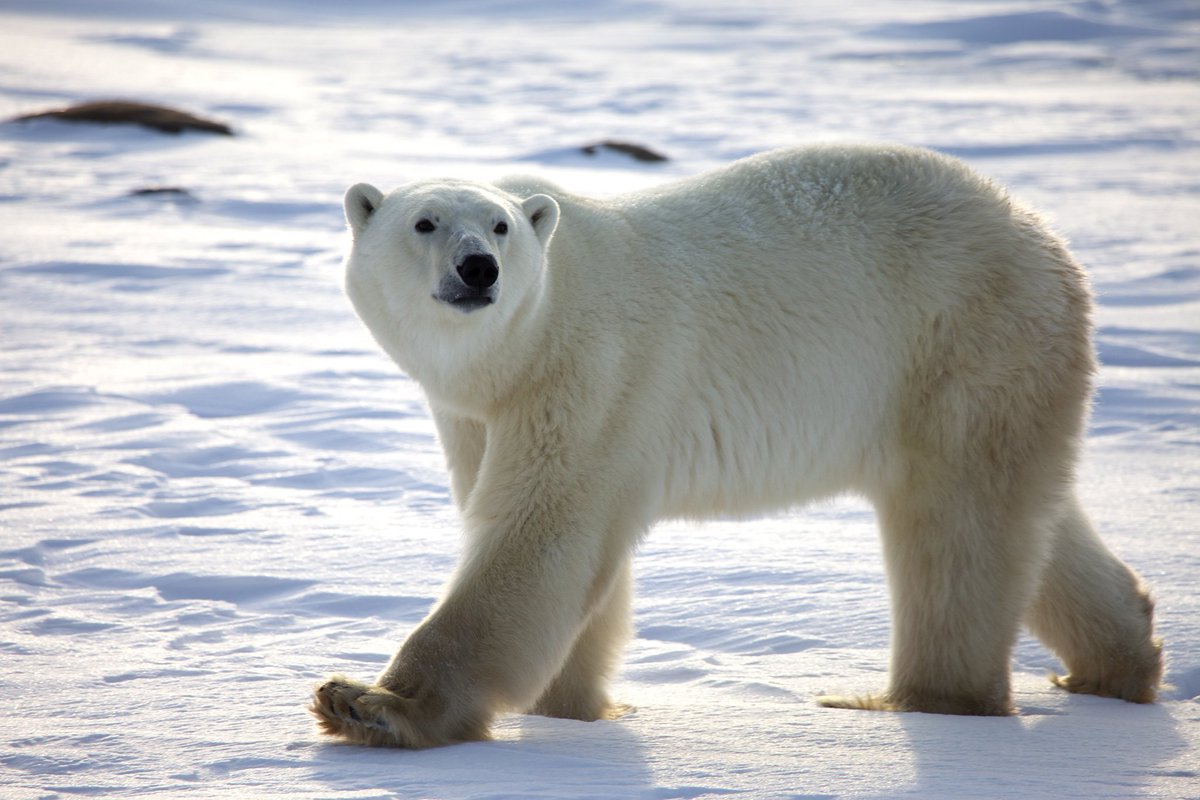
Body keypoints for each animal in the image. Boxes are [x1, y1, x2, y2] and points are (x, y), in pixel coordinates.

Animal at [310, 143, 1162, 748]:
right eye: (423, 222)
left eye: (501, 227)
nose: (478, 269)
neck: (526, 340)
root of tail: (1044, 239)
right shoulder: (478, 414)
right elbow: (577, 559)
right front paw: (573, 709)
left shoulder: (594, 367)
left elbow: (539, 533)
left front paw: (369, 703)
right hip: (998, 370)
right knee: (1030, 517)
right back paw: (1118, 663)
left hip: (959, 340)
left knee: (955, 531)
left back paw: (911, 702)